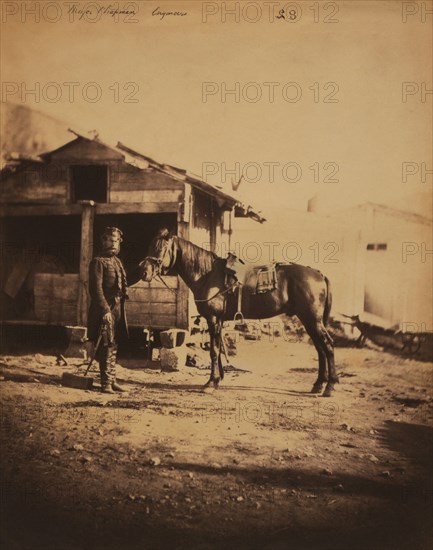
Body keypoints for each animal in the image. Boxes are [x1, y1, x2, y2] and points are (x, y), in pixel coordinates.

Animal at [141, 231, 338, 398]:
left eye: (160, 248)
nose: (144, 271)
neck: (207, 275)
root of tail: (319, 274)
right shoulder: (219, 321)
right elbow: (218, 349)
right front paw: (217, 380)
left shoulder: (213, 319)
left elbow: (213, 351)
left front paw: (210, 384)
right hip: (309, 320)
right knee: (320, 348)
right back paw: (318, 385)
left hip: (312, 320)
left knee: (327, 346)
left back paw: (330, 386)